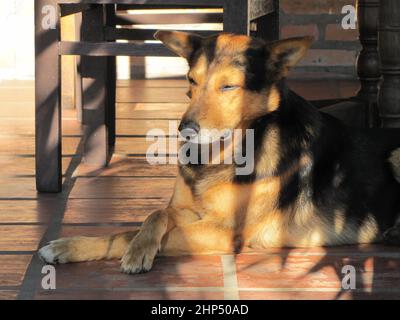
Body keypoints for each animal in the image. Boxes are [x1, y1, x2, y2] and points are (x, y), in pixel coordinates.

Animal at [39, 31, 400, 274]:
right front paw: (70, 245)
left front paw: (136, 252)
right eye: (191, 80)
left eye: (229, 86)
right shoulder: (188, 211)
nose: (185, 129)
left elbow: (147, 234)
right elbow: (149, 218)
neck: (221, 154)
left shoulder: (228, 233)